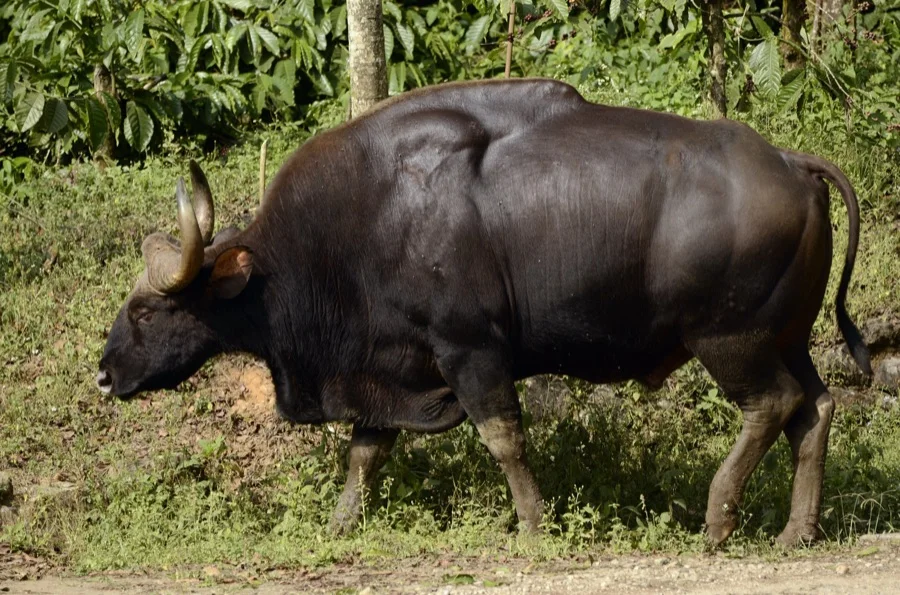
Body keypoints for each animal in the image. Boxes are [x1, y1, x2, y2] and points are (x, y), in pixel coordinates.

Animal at [97, 78, 871, 546]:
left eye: (147, 310)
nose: (104, 375)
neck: (365, 221)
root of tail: (792, 162)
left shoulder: (469, 351)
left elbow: (503, 439)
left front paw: (532, 524)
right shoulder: (388, 364)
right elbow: (365, 452)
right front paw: (341, 524)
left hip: (729, 338)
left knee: (770, 405)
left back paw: (717, 519)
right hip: (788, 336)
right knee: (816, 407)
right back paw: (797, 530)